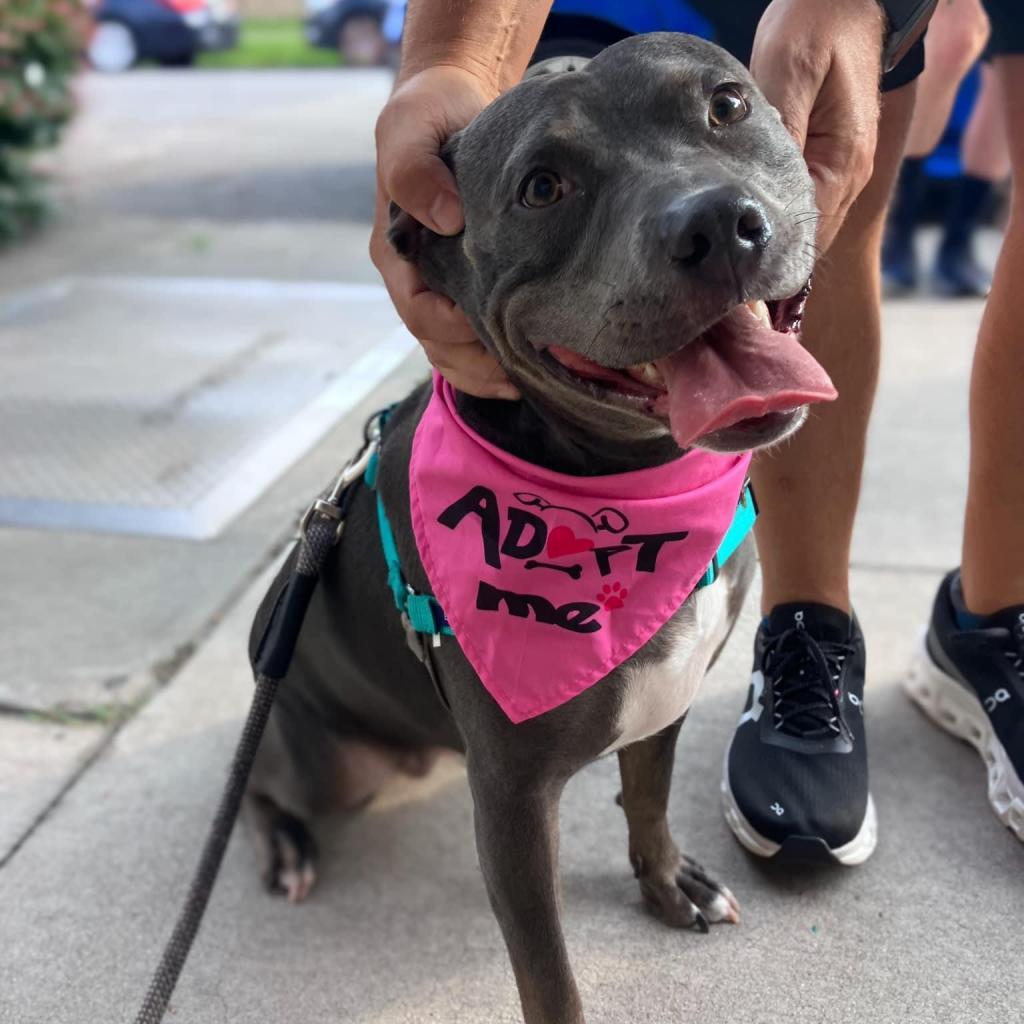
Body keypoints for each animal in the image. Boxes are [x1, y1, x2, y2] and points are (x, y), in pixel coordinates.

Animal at [247, 32, 831, 1024]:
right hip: (325, 761)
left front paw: (666, 882)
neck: (629, 487)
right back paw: (283, 844)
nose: (719, 224)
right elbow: (548, 971)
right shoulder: (513, 803)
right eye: (543, 187)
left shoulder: (665, 700)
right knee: (255, 781)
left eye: (727, 105)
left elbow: (649, 798)